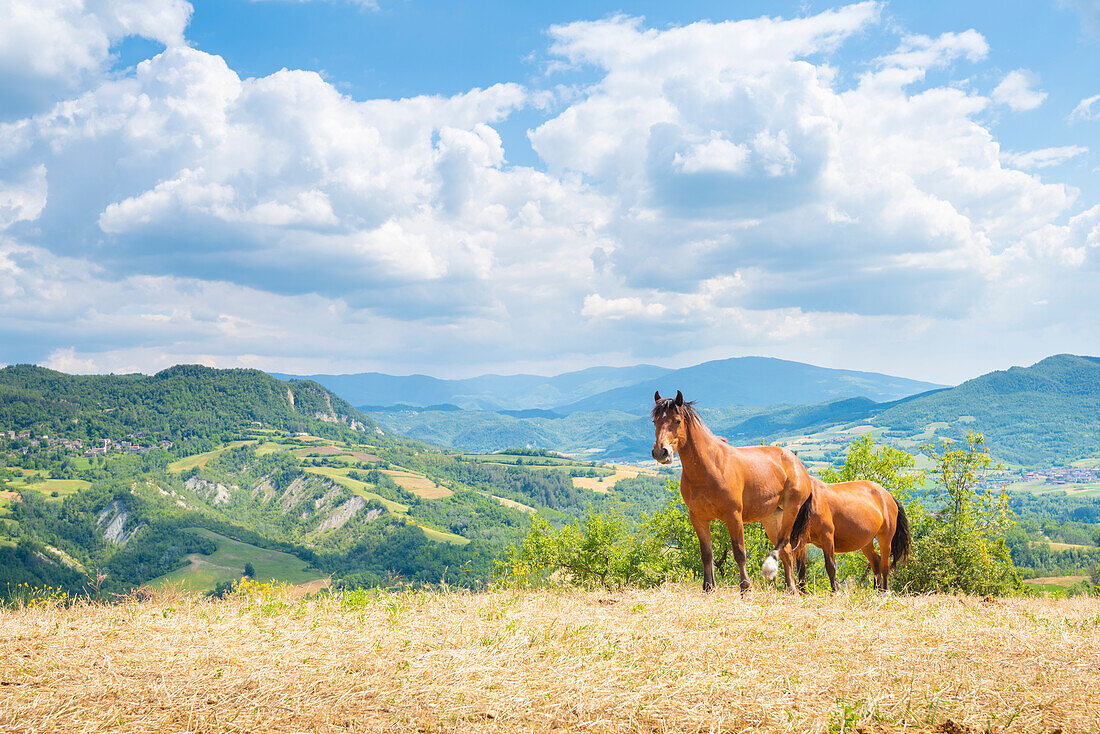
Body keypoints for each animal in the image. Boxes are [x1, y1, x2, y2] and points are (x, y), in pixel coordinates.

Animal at [646, 393, 814, 594]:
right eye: (655, 421)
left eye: (677, 421)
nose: (660, 452)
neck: (711, 466)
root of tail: (796, 462)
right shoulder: (698, 518)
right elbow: (706, 554)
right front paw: (708, 587)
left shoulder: (733, 516)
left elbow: (739, 552)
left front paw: (745, 588)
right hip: (771, 517)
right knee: (787, 551)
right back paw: (791, 589)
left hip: (791, 510)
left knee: (783, 543)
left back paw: (771, 569)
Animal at [765, 479, 910, 594]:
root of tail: (888, 495)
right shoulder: (801, 541)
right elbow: (801, 567)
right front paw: (803, 591)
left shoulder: (827, 537)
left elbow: (830, 565)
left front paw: (835, 590)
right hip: (866, 542)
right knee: (876, 561)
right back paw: (876, 589)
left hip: (885, 537)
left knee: (885, 564)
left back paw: (884, 590)